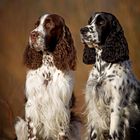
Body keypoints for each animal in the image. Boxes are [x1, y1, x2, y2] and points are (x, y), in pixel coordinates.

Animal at [80, 11, 140, 140]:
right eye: (89, 21)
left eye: (101, 22)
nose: (82, 30)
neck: (102, 70)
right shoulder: (94, 103)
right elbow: (94, 132)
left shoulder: (116, 104)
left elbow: (114, 132)